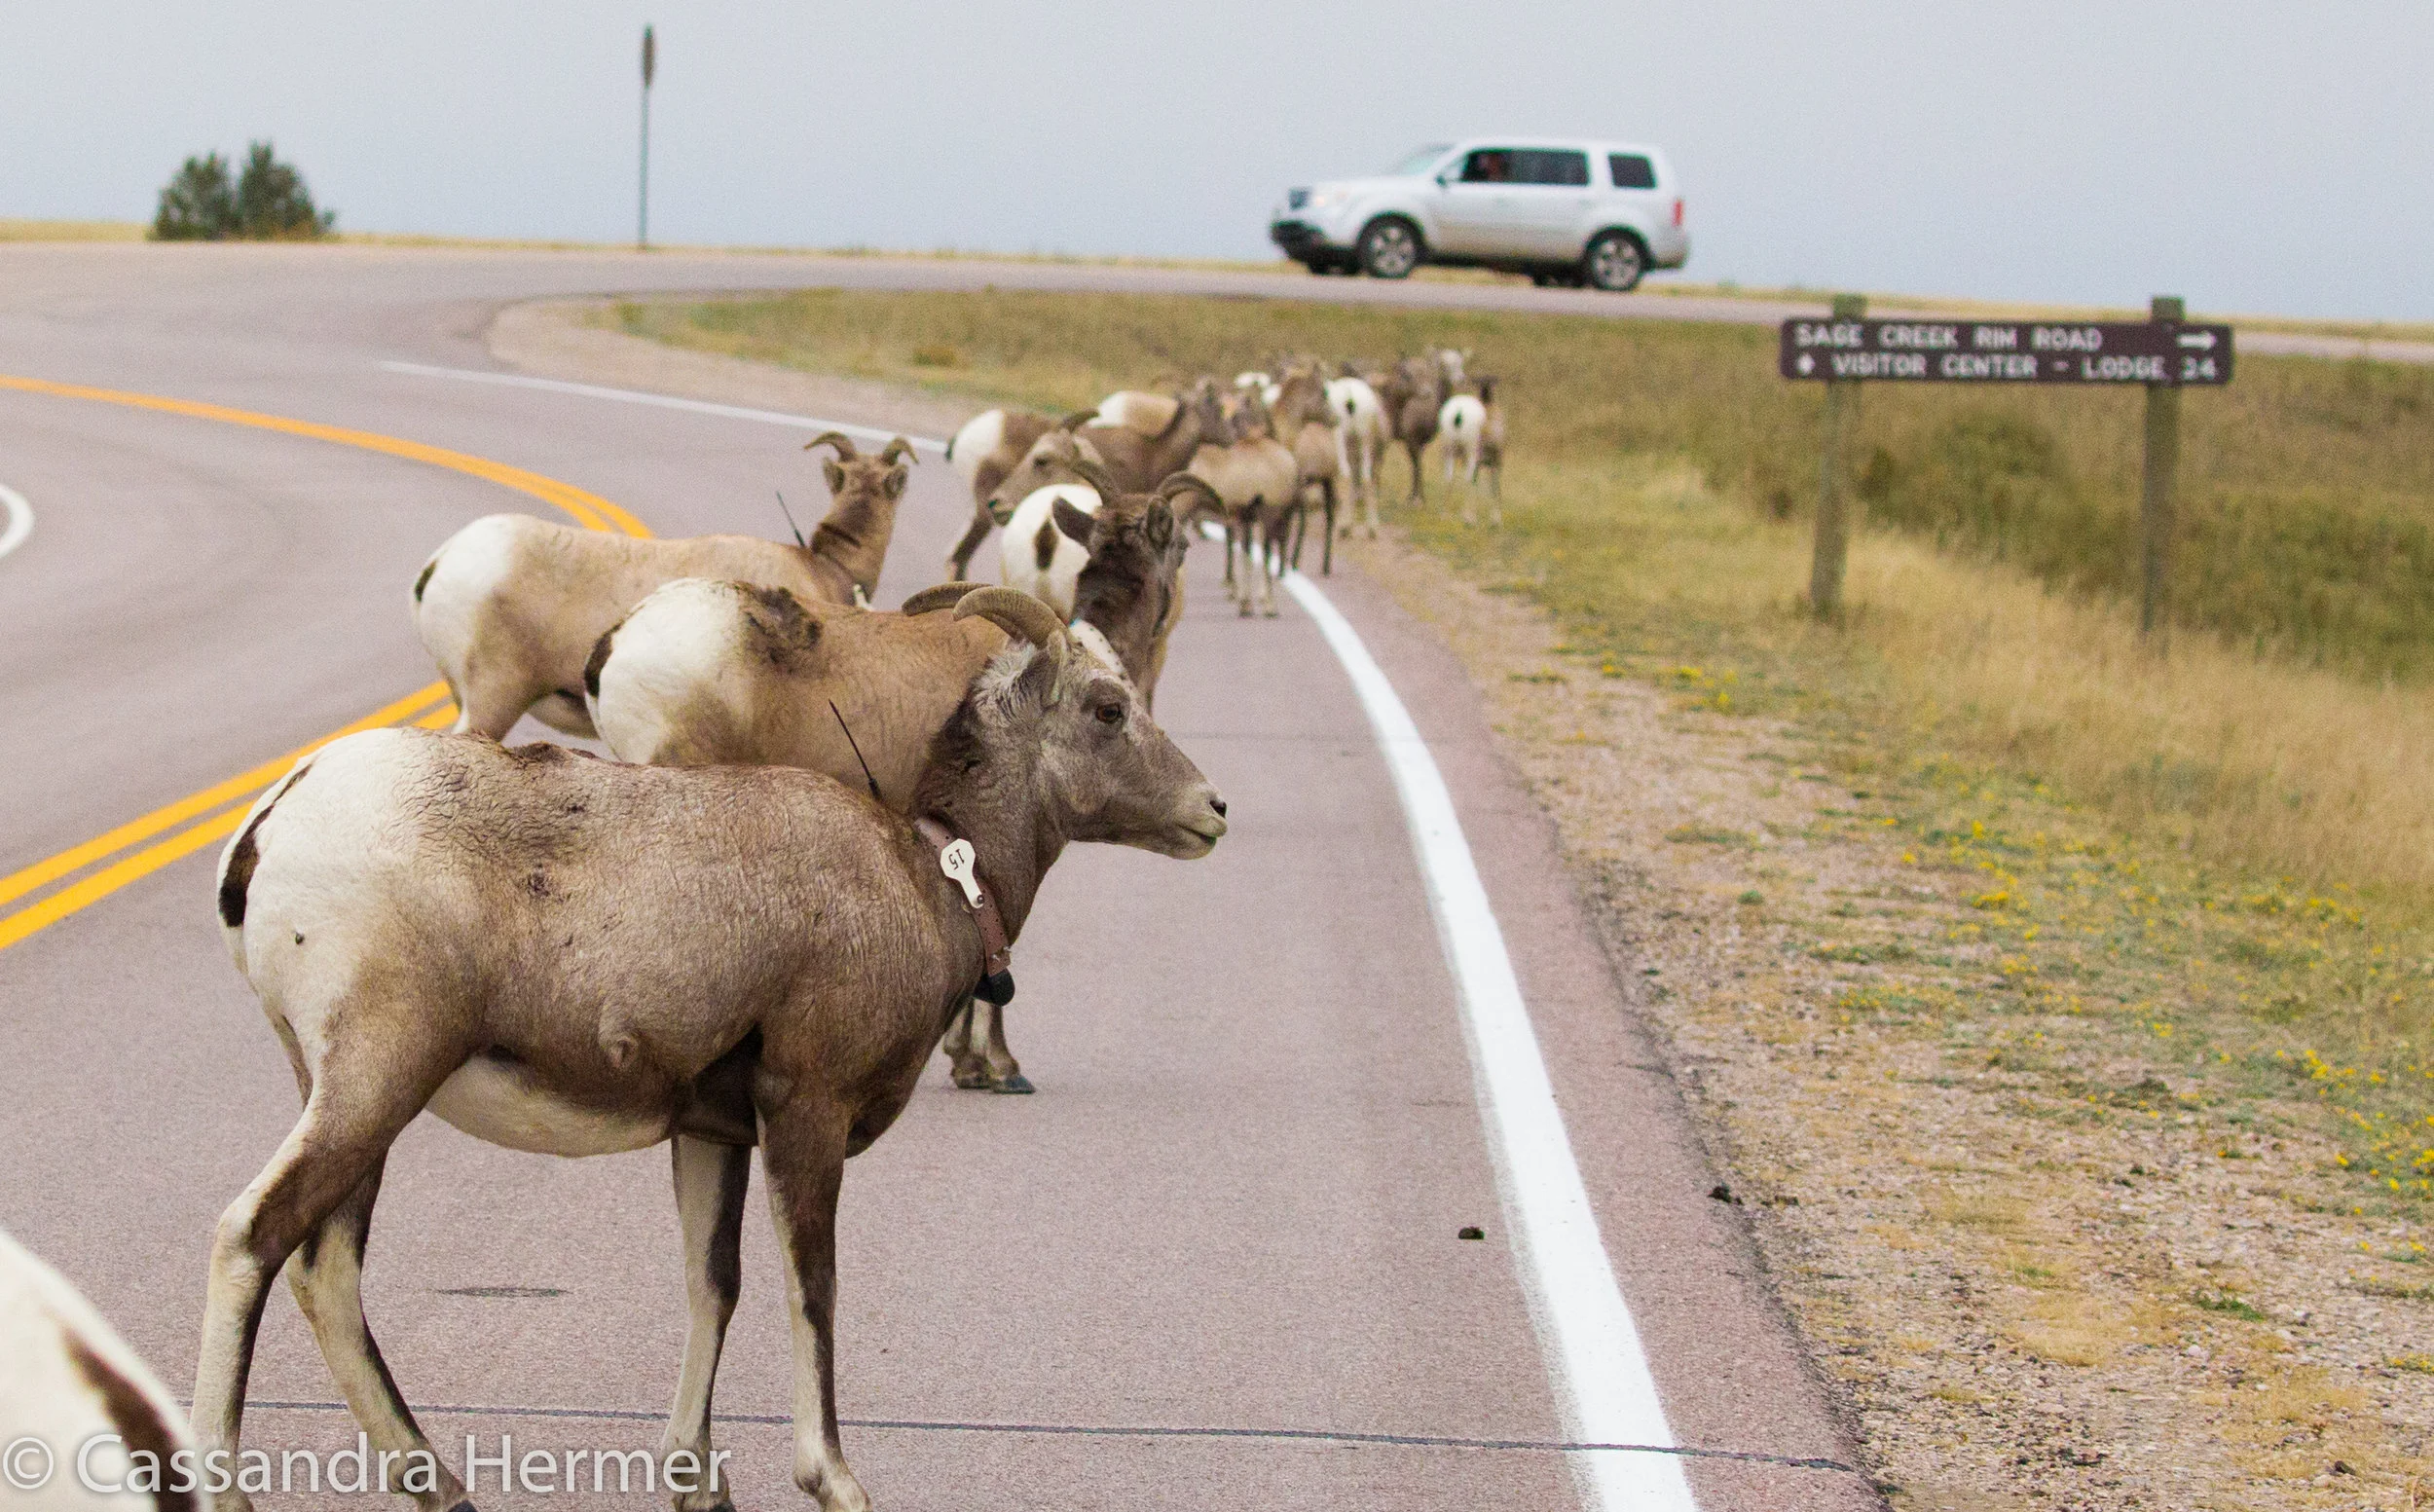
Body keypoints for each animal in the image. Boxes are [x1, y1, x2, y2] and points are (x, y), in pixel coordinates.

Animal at [199, 586, 1227, 1512]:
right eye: (1107, 708)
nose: (1211, 809)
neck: (931, 879)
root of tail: (267, 830)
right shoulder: (806, 1110)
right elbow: (813, 1289)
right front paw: (835, 1480)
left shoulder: (710, 1132)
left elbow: (714, 1285)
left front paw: (697, 1480)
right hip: (375, 1078)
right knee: (254, 1236)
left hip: (349, 1094)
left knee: (326, 1269)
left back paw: (443, 1485)